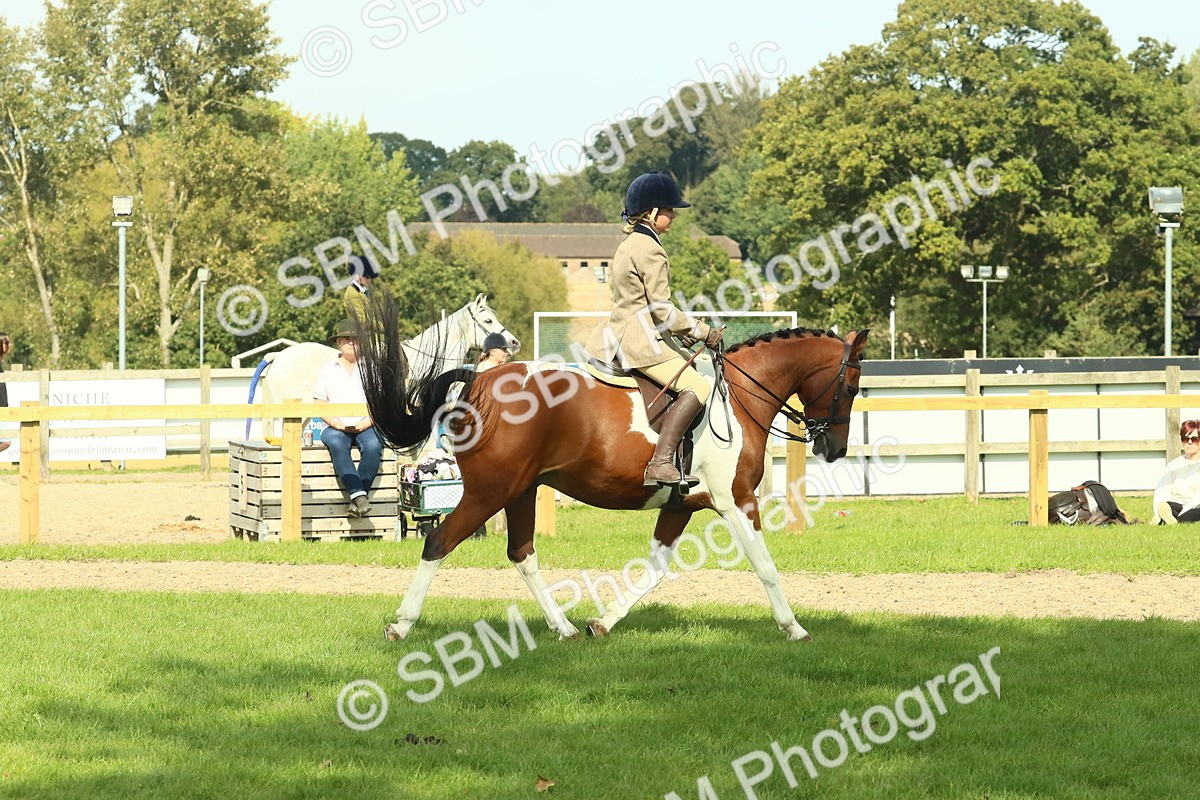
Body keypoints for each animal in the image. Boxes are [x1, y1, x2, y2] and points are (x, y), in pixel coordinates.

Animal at [356, 296, 868, 641]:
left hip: (520, 490)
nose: (836, 448)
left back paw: (563, 627)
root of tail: (481, 379)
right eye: (852, 386)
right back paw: (402, 625)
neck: (740, 397)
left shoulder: (681, 505)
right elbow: (765, 566)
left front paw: (602, 622)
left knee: (522, 553)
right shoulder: (736, 500)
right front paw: (794, 627)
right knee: (439, 541)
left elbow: (655, 569)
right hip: (489, 491)